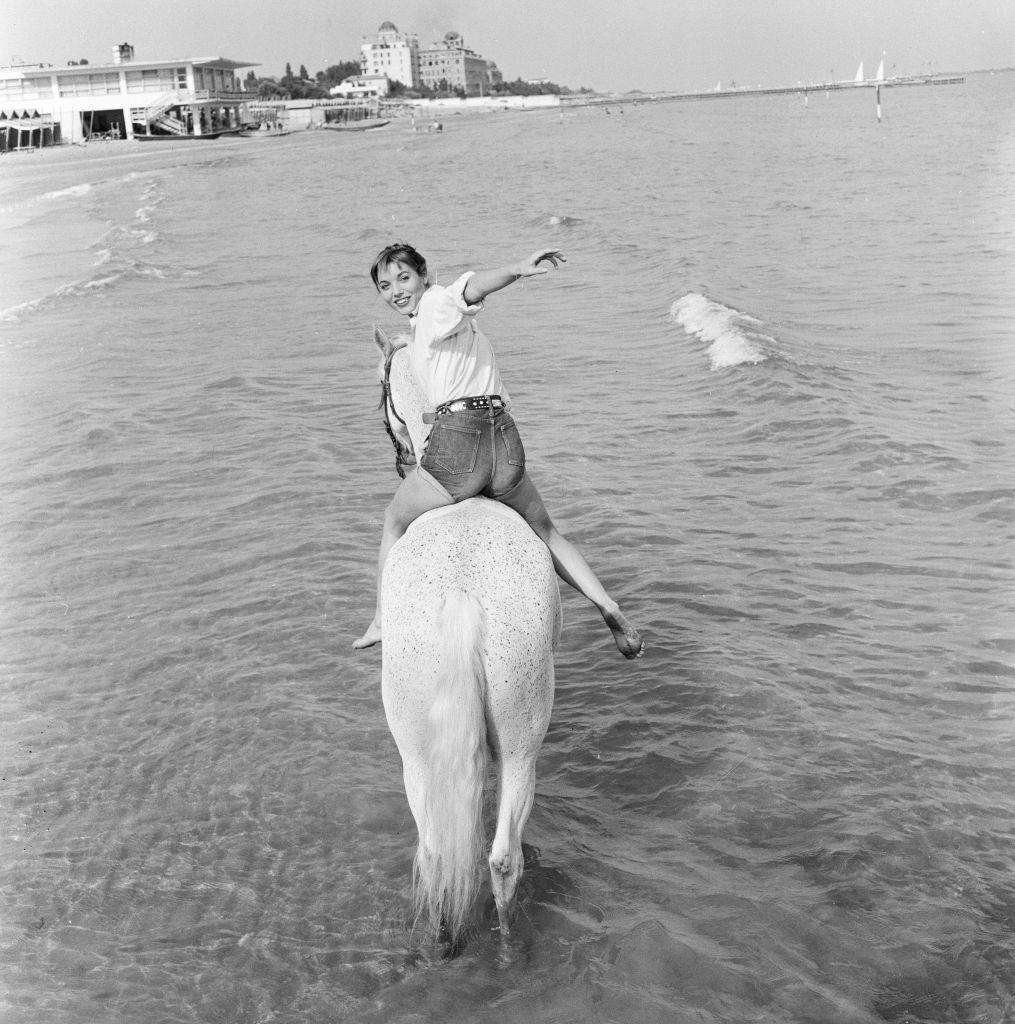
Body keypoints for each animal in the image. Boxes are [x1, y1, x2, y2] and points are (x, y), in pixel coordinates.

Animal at [374, 325, 565, 942]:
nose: (402, 458)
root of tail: (463, 596)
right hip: (510, 741)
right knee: (490, 855)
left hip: (424, 748)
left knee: (451, 853)